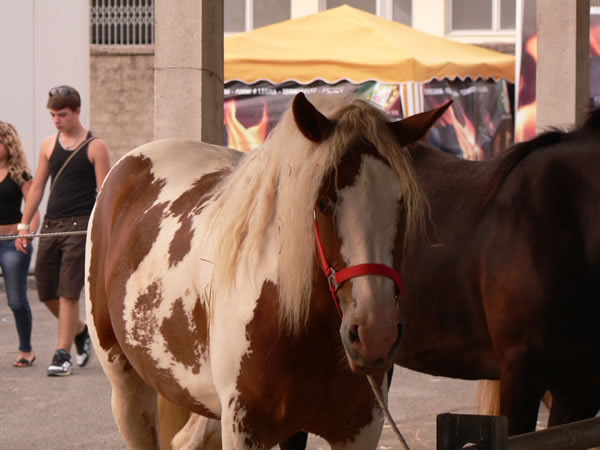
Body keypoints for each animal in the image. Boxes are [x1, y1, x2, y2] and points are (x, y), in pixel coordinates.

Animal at [84, 93, 450, 448]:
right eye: (323, 203)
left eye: (402, 204)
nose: (376, 334)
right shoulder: (244, 429)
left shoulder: (359, 429)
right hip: (128, 387)